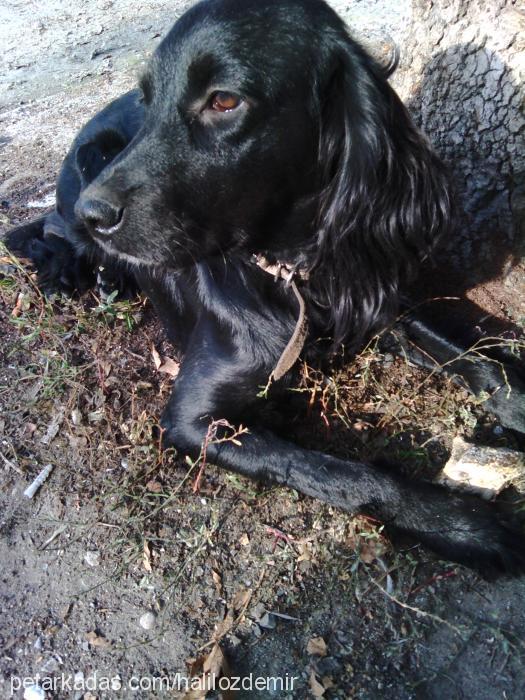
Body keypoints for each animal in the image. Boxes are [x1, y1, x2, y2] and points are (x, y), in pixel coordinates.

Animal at [7, 0, 524, 572]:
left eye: (224, 100)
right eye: (148, 101)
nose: (94, 213)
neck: (291, 277)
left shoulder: (369, 293)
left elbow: (472, 355)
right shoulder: (191, 420)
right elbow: (340, 470)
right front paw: (459, 524)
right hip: (89, 162)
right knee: (52, 234)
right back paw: (87, 273)